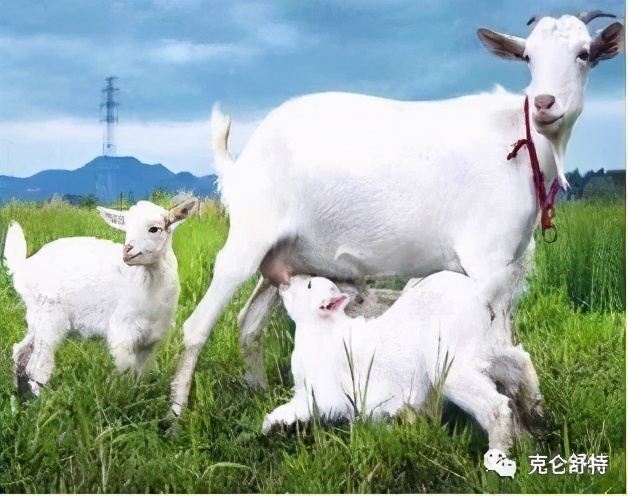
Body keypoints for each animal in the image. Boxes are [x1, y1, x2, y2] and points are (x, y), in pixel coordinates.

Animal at [170, 12, 624, 414]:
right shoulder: (486, 261)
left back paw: (258, 391)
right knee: (197, 326)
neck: (519, 142)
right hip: (250, 235)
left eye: (584, 53)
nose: (545, 103)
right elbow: (497, 338)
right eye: (528, 56)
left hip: (280, 258)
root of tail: (239, 164)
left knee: (247, 323)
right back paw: (176, 417)